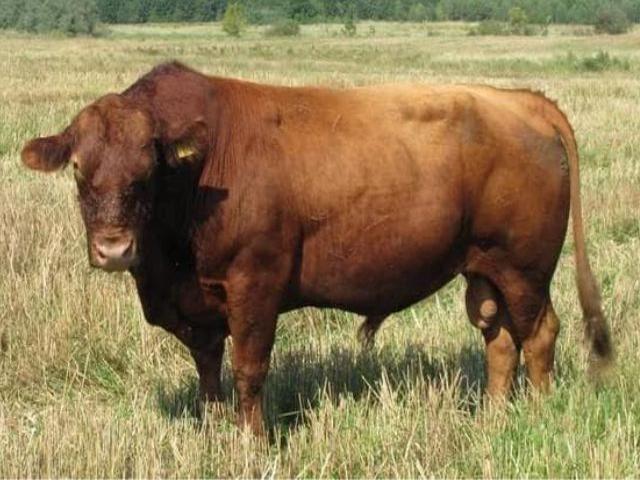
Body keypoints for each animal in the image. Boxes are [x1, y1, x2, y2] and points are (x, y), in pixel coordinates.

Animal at [22, 62, 612, 434]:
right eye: (79, 168)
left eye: (148, 169)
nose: (114, 250)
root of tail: (518, 99)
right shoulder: (199, 304)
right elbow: (208, 374)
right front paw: (212, 433)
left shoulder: (254, 284)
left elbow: (249, 369)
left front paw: (252, 443)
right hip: (485, 269)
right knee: (500, 340)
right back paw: (491, 419)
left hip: (525, 268)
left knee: (539, 335)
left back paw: (537, 416)